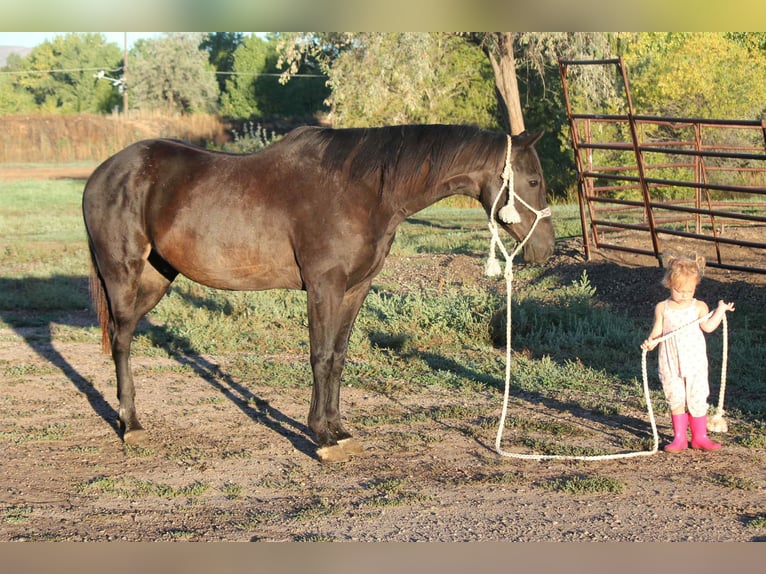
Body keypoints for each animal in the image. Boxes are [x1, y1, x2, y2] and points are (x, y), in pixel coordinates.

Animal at [82, 124, 555, 462]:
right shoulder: (323, 286)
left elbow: (338, 357)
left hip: (158, 276)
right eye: (533, 181)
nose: (545, 249)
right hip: (124, 274)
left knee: (126, 335)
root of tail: (103, 172)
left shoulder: (354, 289)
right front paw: (322, 437)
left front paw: (338, 430)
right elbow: (321, 356)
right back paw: (131, 425)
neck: (363, 189)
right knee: (121, 341)